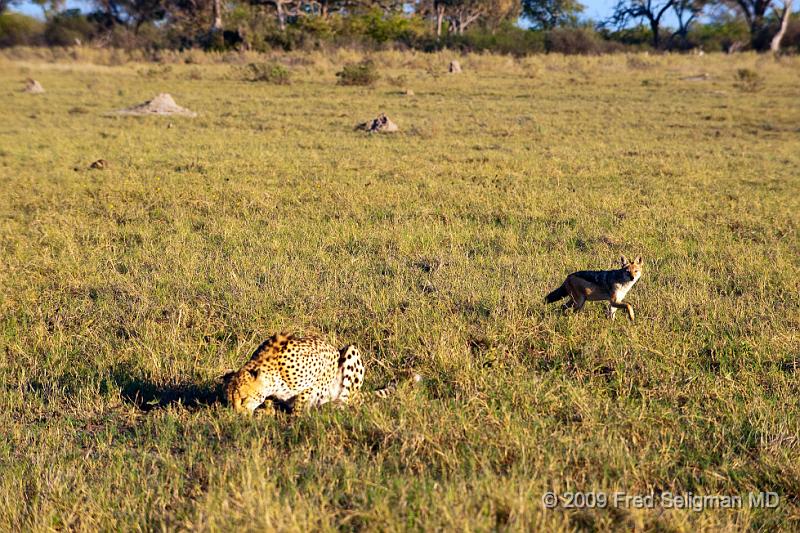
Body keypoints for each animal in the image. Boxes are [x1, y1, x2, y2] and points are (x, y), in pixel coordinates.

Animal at [223, 332, 370, 416]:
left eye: (243, 398)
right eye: (230, 402)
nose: (238, 415)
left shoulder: (328, 361)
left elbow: (306, 393)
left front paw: (296, 416)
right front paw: (267, 411)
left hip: (351, 351)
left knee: (348, 397)